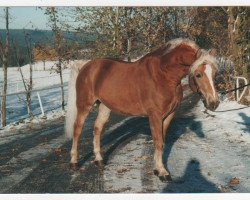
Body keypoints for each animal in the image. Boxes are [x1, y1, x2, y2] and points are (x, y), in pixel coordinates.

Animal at [65, 38, 220, 182]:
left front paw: (157, 169)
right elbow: (158, 142)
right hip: (84, 105)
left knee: (97, 128)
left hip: (104, 107)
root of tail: (86, 66)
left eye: (214, 73)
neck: (163, 75)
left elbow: (162, 141)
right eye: (198, 74)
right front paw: (162, 172)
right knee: (77, 129)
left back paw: (99, 159)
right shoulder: (155, 116)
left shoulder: (169, 115)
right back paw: (73, 162)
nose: (214, 103)